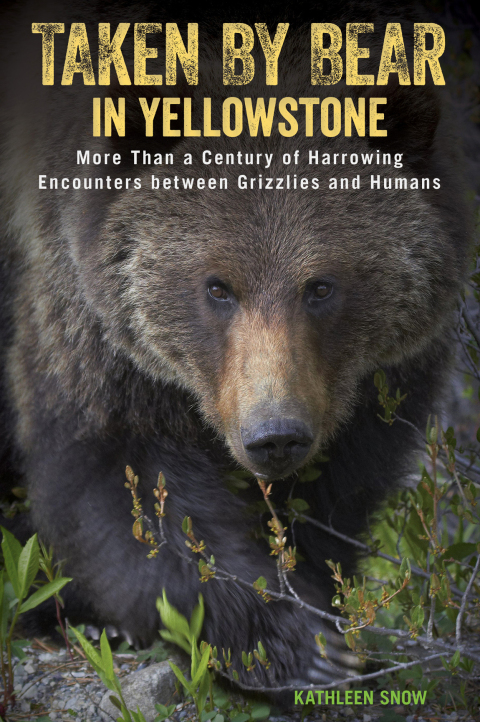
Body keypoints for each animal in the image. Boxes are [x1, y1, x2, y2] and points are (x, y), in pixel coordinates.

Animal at [0, 0, 472, 690]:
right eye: (217, 286)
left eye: (320, 286)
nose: (274, 435)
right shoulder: (91, 324)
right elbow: (127, 482)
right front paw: (290, 642)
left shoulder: (372, 380)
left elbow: (341, 486)